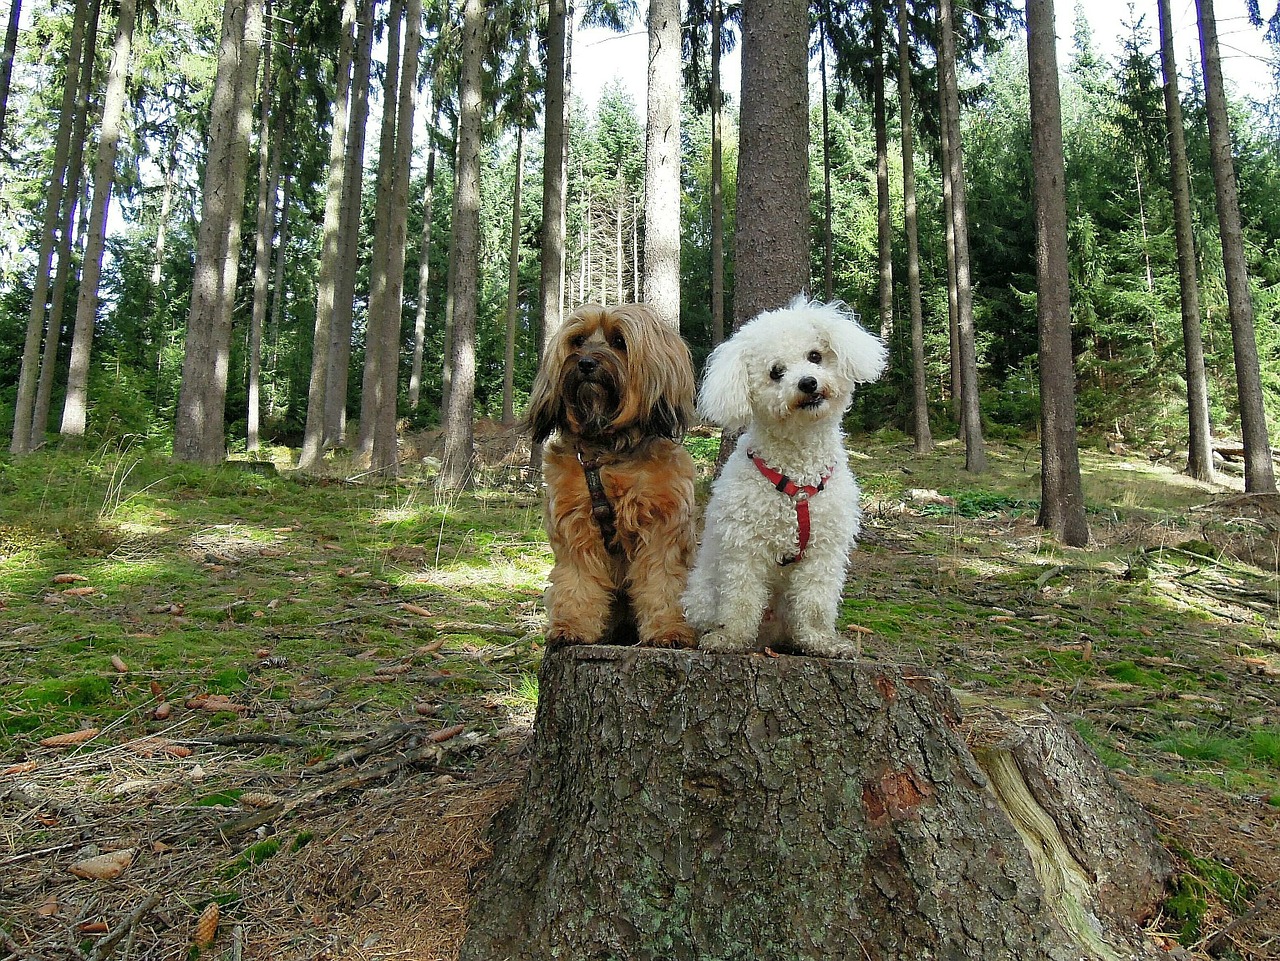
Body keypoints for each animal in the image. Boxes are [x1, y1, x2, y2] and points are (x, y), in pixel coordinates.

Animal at [524, 301, 696, 647]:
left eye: (619, 341)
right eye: (577, 340)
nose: (586, 363)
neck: (609, 450)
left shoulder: (663, 524)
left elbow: (662, 581)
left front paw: (669, 629)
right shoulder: (575, 521)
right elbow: (578, 580)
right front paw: (573, 626)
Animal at [686, 296, 885, 660]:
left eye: (815, 356)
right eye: (775, 372)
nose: (807, 382)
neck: (798, 475)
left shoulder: (824, 552)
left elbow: (816, 601)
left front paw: (820, 641)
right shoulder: (744, 546)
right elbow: (740, 598)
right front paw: (731, 637)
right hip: (701, 593)